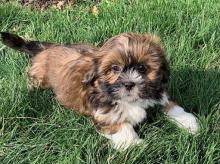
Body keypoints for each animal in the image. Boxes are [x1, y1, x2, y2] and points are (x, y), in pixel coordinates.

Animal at [0, 31, 199, 149]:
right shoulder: (104, 114)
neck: (128, 101)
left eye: (142, 68)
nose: (129, 84)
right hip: (39, 78)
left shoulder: (155, 94)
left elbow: (171, 106)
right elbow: (122, 126)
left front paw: (190, 124)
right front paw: (134, 145)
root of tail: (49, 48)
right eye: (114, 68)